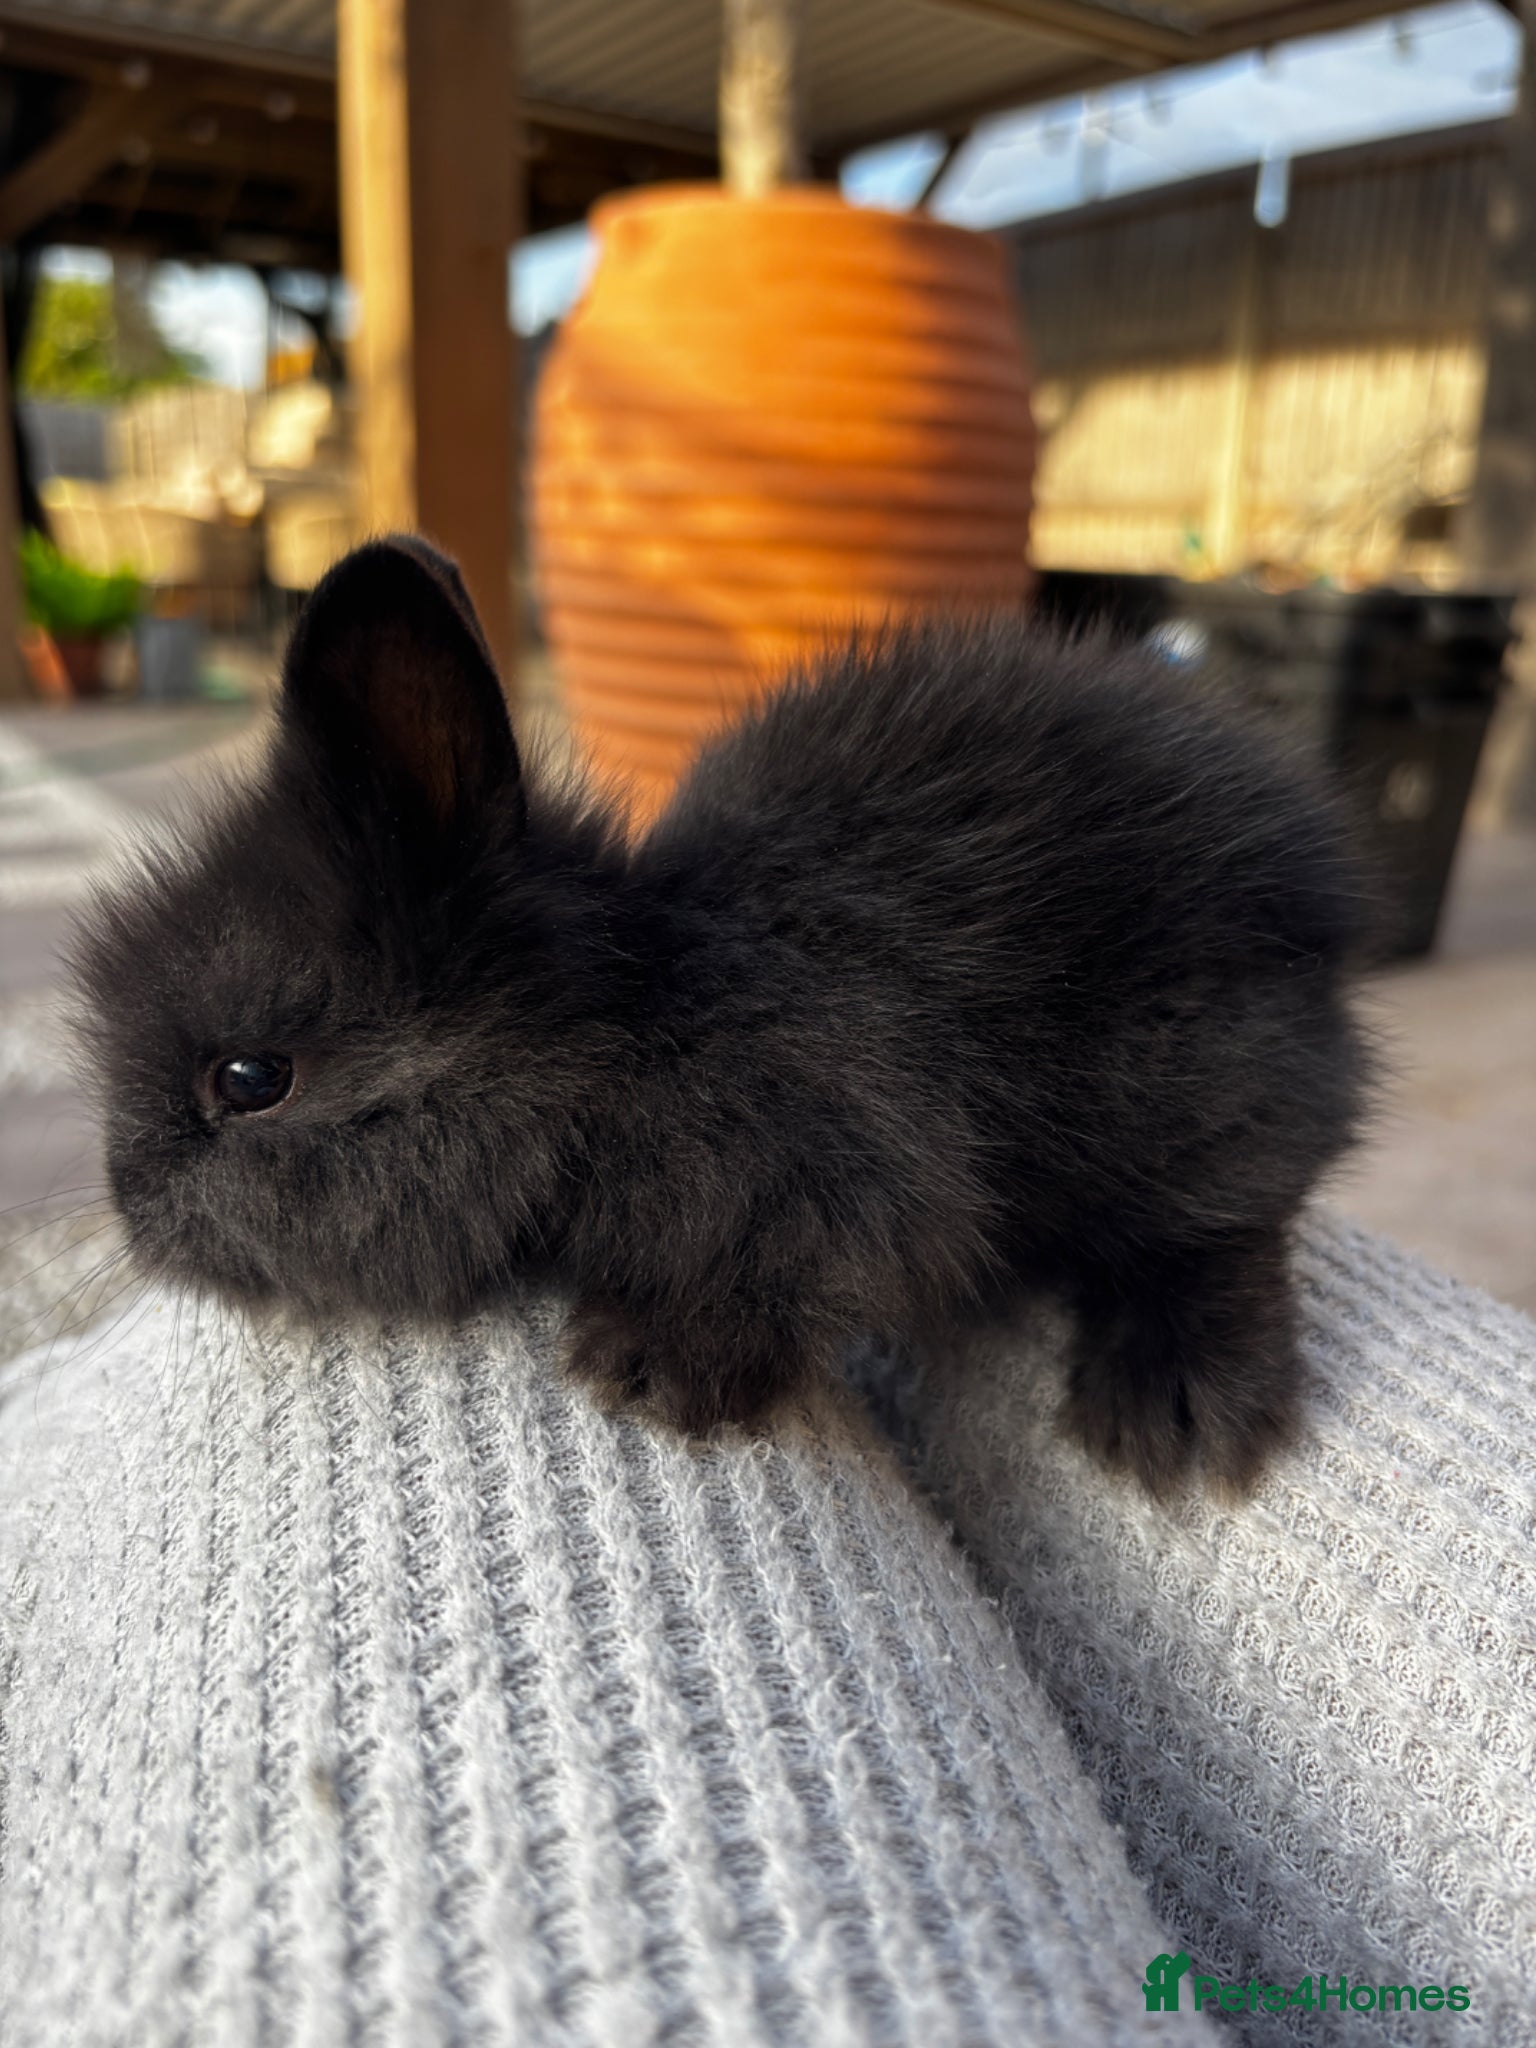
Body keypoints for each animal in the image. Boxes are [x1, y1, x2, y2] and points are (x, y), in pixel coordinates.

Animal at [69, 535, 1374, 1494]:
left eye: (248, 1080)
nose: (131, 1210)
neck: (622, 1027)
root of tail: (1322, 897)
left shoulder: (838, 1139)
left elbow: (805, 1261)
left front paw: (649, 1366)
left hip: (1186, 1083)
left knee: (1226, 1222)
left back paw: (1174, 1408)